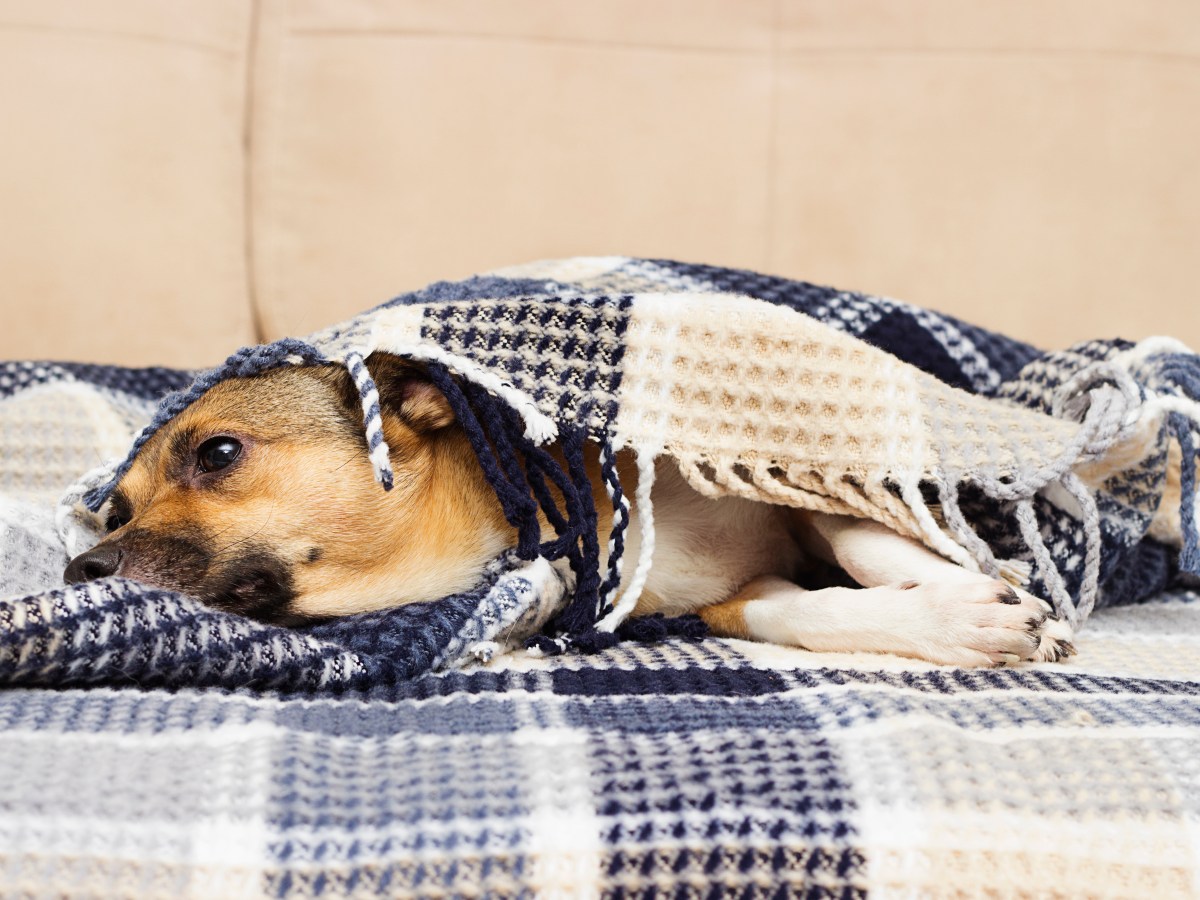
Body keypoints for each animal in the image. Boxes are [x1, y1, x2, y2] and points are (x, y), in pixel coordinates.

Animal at [65, 352, 1080, 672]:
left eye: (217, 453)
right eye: (113, 512)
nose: (81, 568)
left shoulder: (769, 474)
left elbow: (862, 538)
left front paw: (984, 592)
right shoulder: (737, 592)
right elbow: (804, 608)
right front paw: (953, 620)